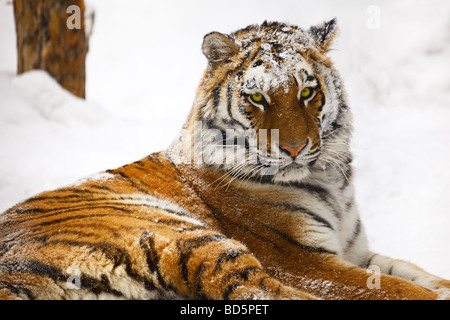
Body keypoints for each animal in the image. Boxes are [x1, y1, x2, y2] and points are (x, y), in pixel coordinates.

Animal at [0, 20, 450, 300]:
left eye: (307, 92)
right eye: (257, 97)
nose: (294, 149)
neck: (331, 184)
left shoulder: (355, 251)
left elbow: (415, 272)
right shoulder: (303, 261)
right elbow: (396, 288)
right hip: (184, 234)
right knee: (260, 289)